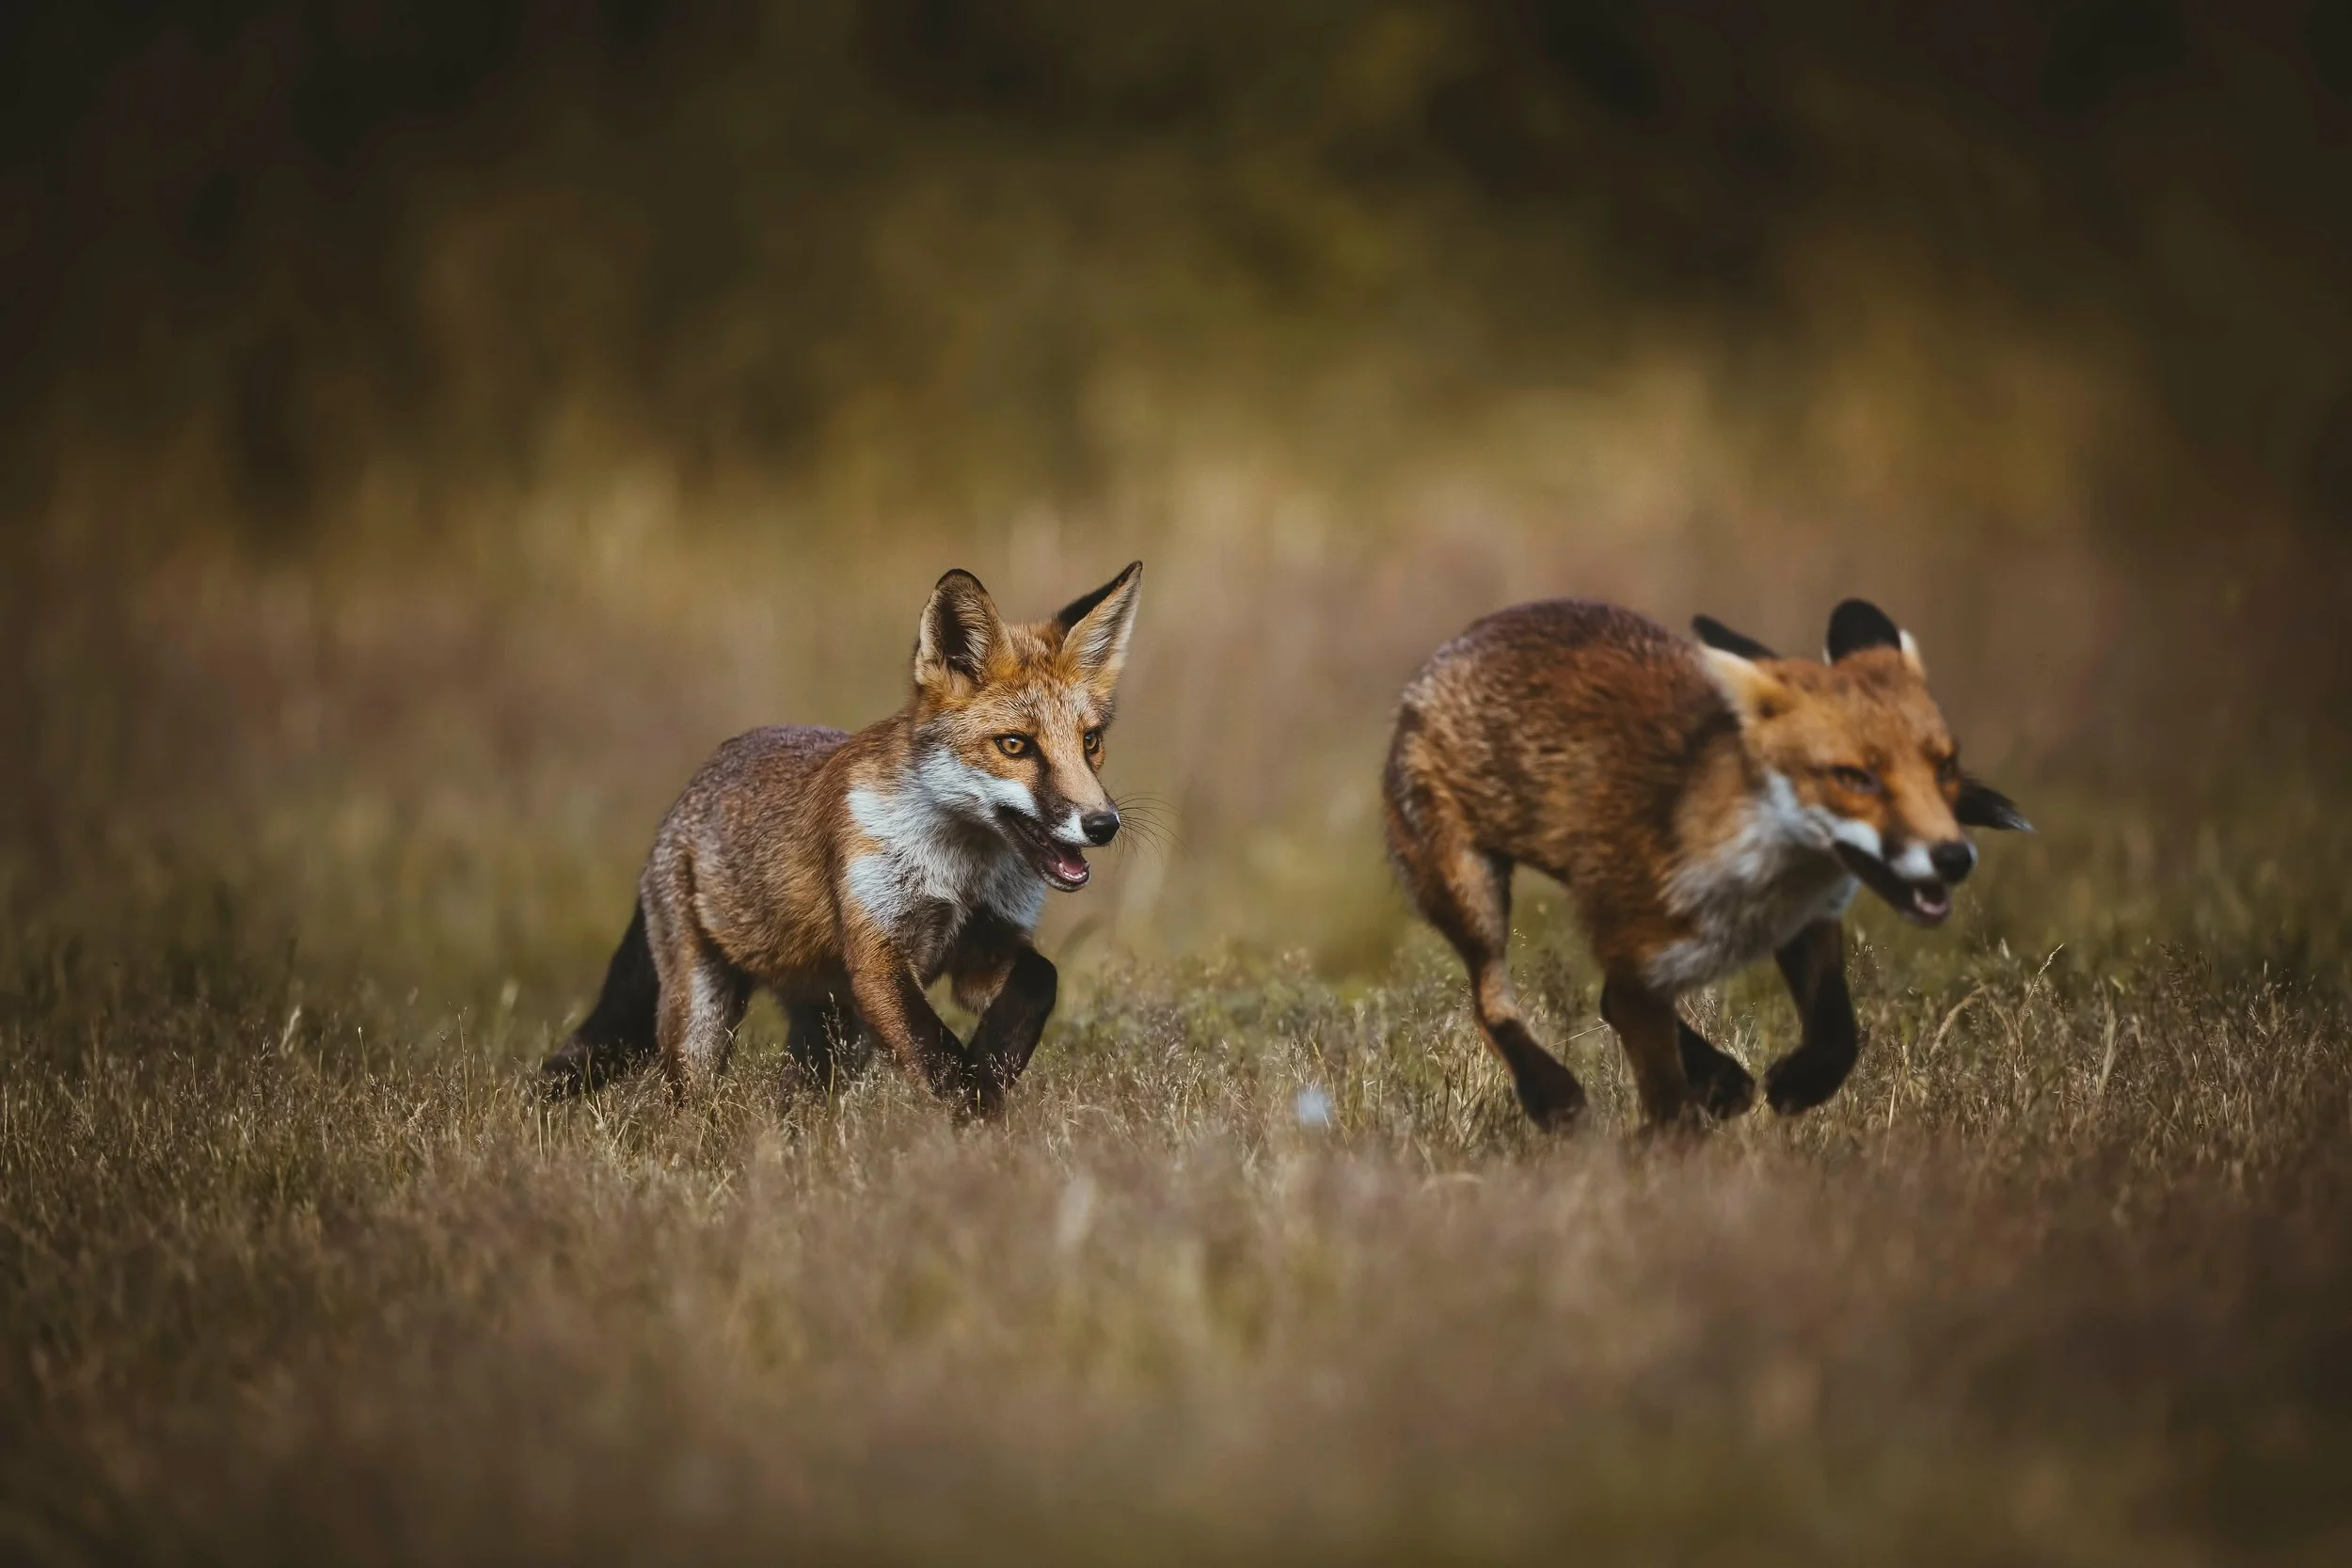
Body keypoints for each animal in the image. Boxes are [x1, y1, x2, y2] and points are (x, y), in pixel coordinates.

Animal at [539, 561, 1144, 1117]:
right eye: (1015, 745)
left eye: (1090, 742)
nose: (1102, 824)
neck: (959, 873)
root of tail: (682, 800)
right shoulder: (876, 957)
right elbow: (937, 1056)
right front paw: (971, 1113)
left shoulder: (985, 946)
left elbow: (1040, 981)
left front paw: (992, 1072)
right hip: (703, 1017)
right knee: (684, 1103)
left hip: (833, 1034)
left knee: (791, 1103)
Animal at [1382, 597, 2029, 1133]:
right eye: (1854, 777)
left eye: (1944, 768)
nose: (1954, 857)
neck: (1753, 879)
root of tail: (1462, 639)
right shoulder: (1638, 957)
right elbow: (1671, 1114)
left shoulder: (1805, 921)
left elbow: (1837, 1036)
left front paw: (1795, 1086)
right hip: (1471, 892)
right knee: (1492, 1002)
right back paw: (1555, 1094)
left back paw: (1721, 1082)